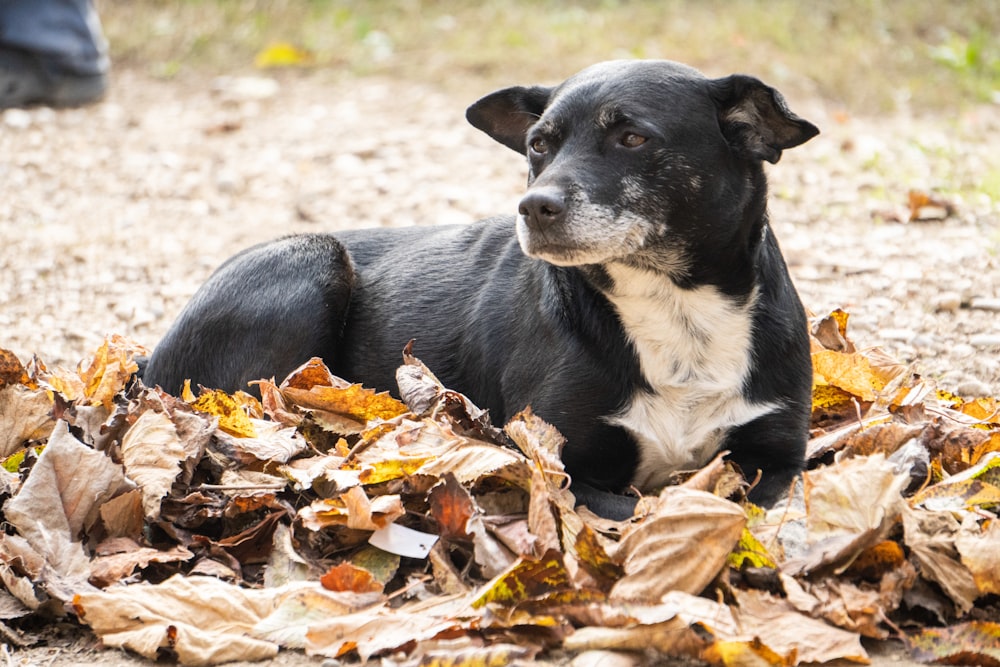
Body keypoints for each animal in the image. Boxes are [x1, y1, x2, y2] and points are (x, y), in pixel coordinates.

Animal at [146, 61, 820, 520]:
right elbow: (660, 510)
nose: (534, 207)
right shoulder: (561, 466)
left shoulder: (781, 459)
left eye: (633, 138)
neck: (674, 304)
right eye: (538, 145)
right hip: (307, 260)